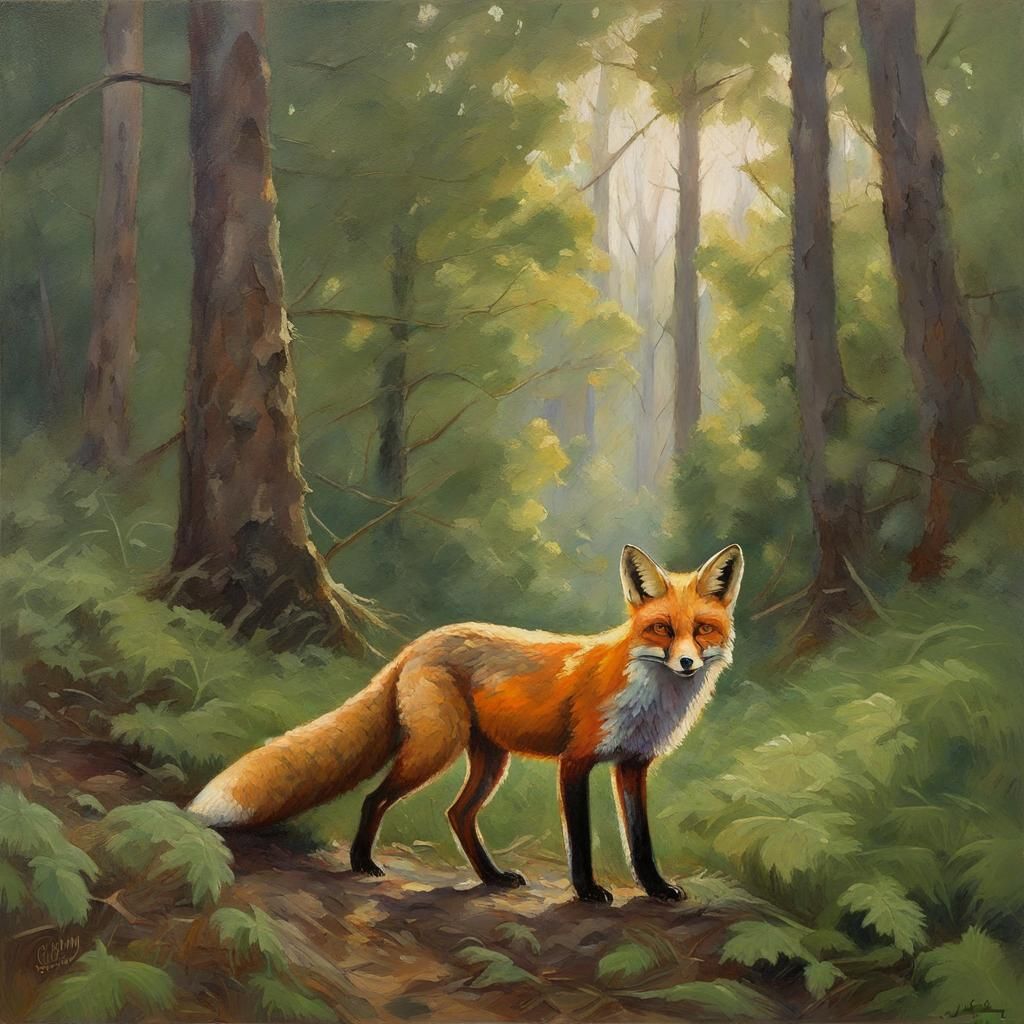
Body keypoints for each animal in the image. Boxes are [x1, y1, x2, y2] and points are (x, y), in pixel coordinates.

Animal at [188, 543, 743, 904]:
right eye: (661, 628)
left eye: (703, 630)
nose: (687, 664)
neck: (649, 695)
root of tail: (417, 643)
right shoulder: (576, 761)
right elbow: (582, 839)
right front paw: (587, 891)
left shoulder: (632, 765)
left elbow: (641, 840)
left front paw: (656, 889)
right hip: (437, 748)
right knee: (375, 798)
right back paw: (363, 863)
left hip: (489, 760)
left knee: (456, 814)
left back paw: (492, 878)